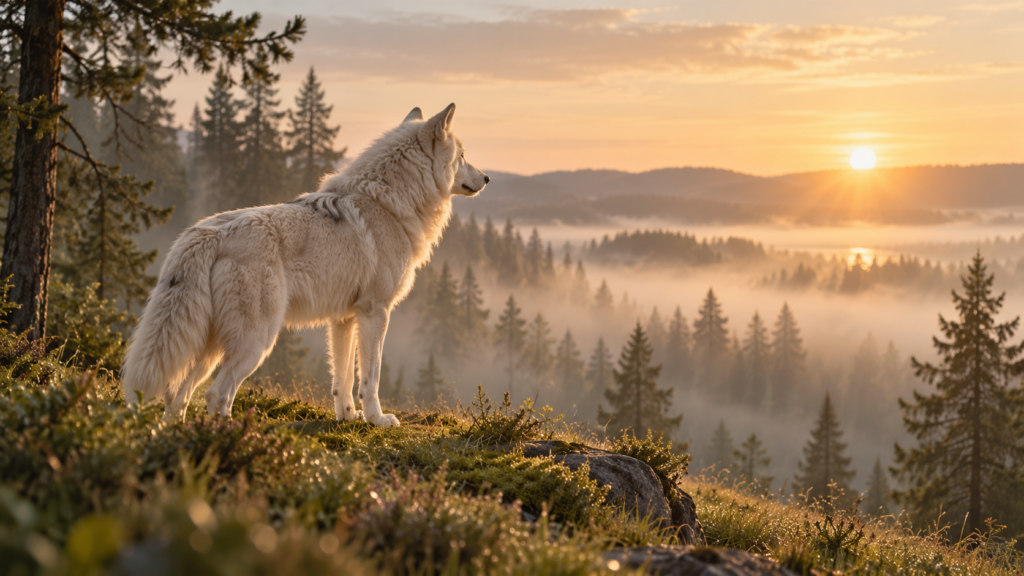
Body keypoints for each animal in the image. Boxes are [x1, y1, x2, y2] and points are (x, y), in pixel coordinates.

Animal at [121, 104, 487, 427]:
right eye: (462, 156)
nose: (485, 177)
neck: (389, 203)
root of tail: (206, 232)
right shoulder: (375, 312)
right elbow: (371, 378)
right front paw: (378, 420)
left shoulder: (344, 318)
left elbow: (343, 379)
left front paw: (348, 418)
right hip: (256, 343)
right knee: (216, 394)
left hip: (211, 348)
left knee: (177, 396)